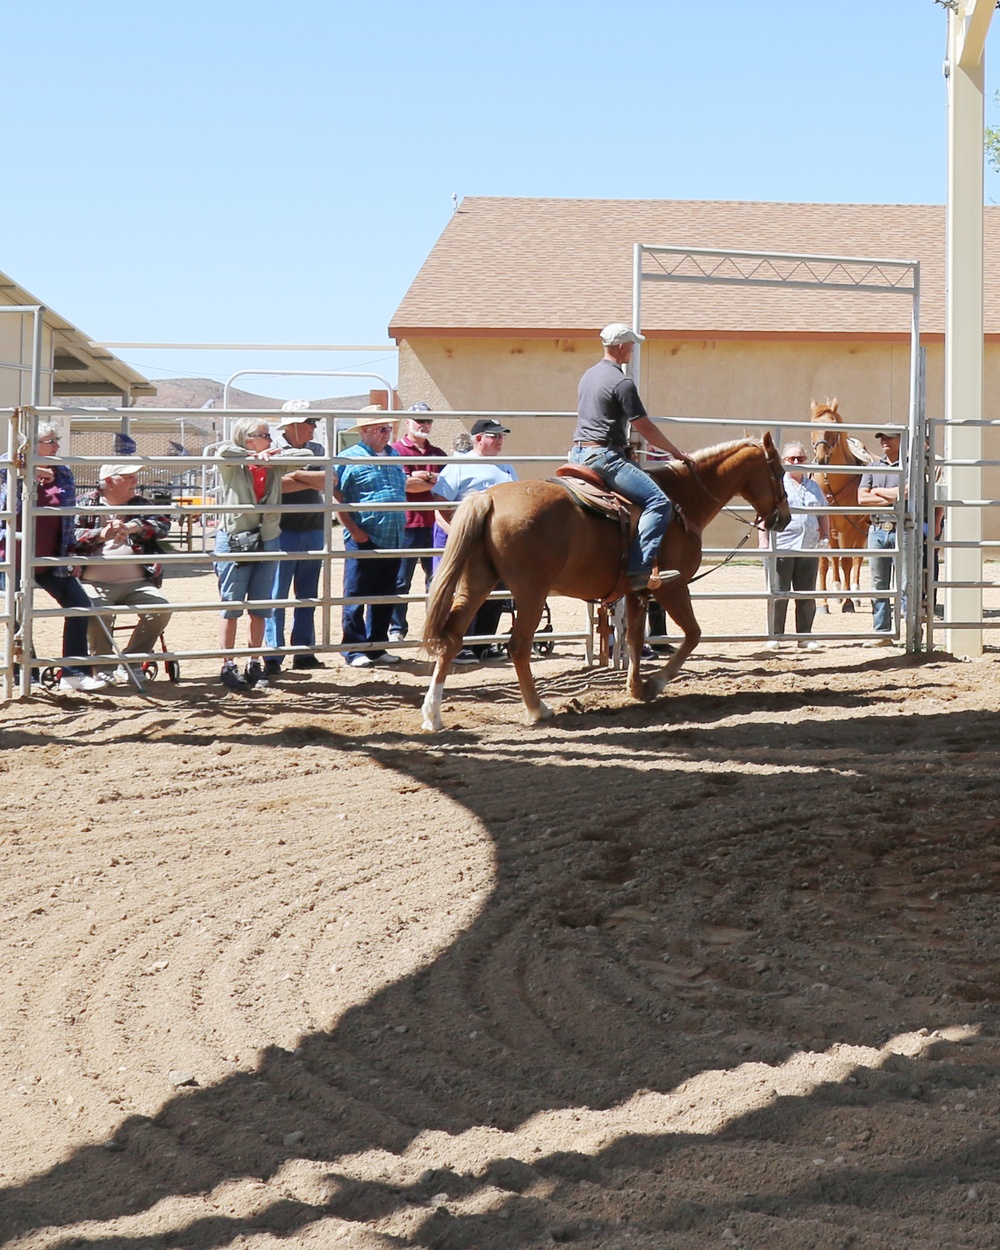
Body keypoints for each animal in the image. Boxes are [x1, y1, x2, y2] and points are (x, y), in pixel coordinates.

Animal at [422, 432, 790, 730]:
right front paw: (655, 684)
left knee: (452, 637)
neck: (681, 501)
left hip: (478, 581)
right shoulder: (673, 587)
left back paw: (433, 715)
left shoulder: (637, 592)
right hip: (530, 592)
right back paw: (537, 708)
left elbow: (635, 639)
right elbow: (692, 635)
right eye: (780, 472)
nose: (784, 518)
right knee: (518, 645)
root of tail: (488, 499)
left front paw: (636, 687)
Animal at [810, 397, 870, 612]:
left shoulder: (851, 523)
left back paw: (854, 592)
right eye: (812, 425)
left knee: (856, 558)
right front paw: (823, 603)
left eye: (833, 424)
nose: (821, 458)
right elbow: (824, 563)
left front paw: (849, 602)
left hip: (861, 527)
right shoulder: (825, 524)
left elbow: (847, 561)